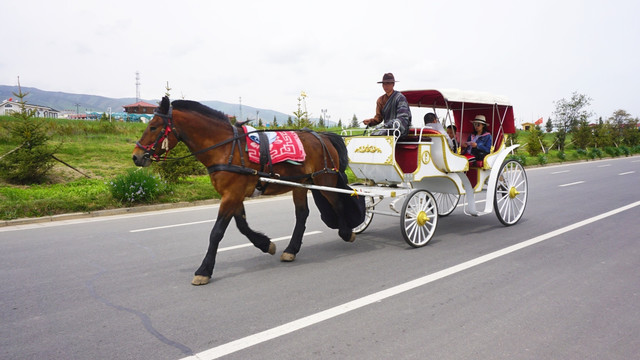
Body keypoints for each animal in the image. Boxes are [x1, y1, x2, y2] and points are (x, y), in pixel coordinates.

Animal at [132, 97, 362, 286]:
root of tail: (321, 136)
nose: (136, 156)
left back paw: (346, 232)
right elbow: (242, 225)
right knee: (302, 214)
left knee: (337, 202)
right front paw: (265, 244)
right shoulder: (233, 194)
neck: (225, 148)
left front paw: (204, 270)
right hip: (301, 183)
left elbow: (217, 232)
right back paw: (291, 249)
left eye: (153, 127)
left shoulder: (232, 194)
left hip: (324, 178)